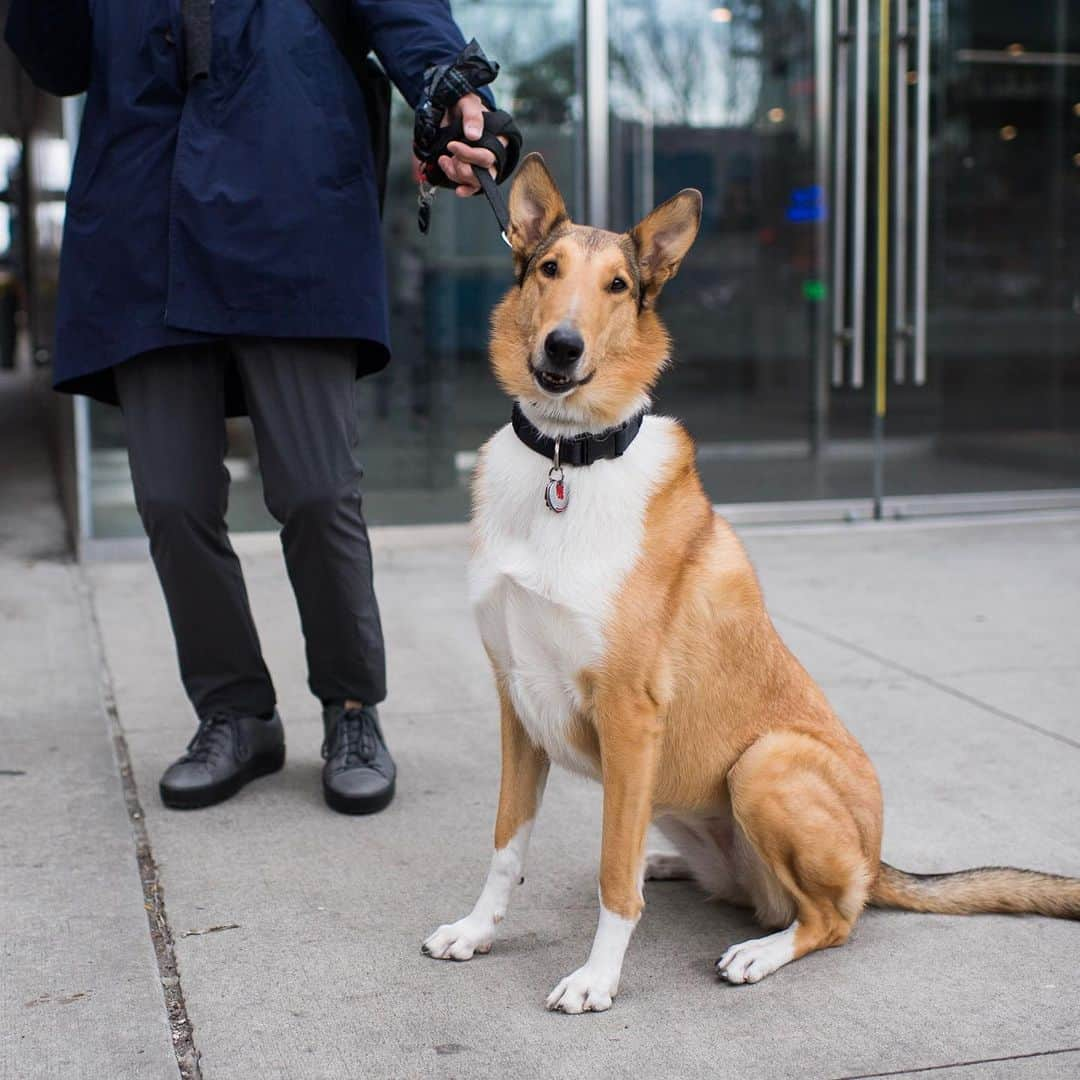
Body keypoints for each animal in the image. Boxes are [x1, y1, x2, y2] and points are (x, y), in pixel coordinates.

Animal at [419, 152, 1080, 1010]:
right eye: (549, 269)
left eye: (618, 286)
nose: (562, 348)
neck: (567, 460)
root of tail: (878, 859)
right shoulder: (517, 704)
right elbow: (506, 843)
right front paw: (476, 932)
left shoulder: (629, 714)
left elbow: (610, 874)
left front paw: (598, 978)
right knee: (738, 884)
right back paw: (674, 865)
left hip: (763, 765)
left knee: (832, 917)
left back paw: (759, 952)